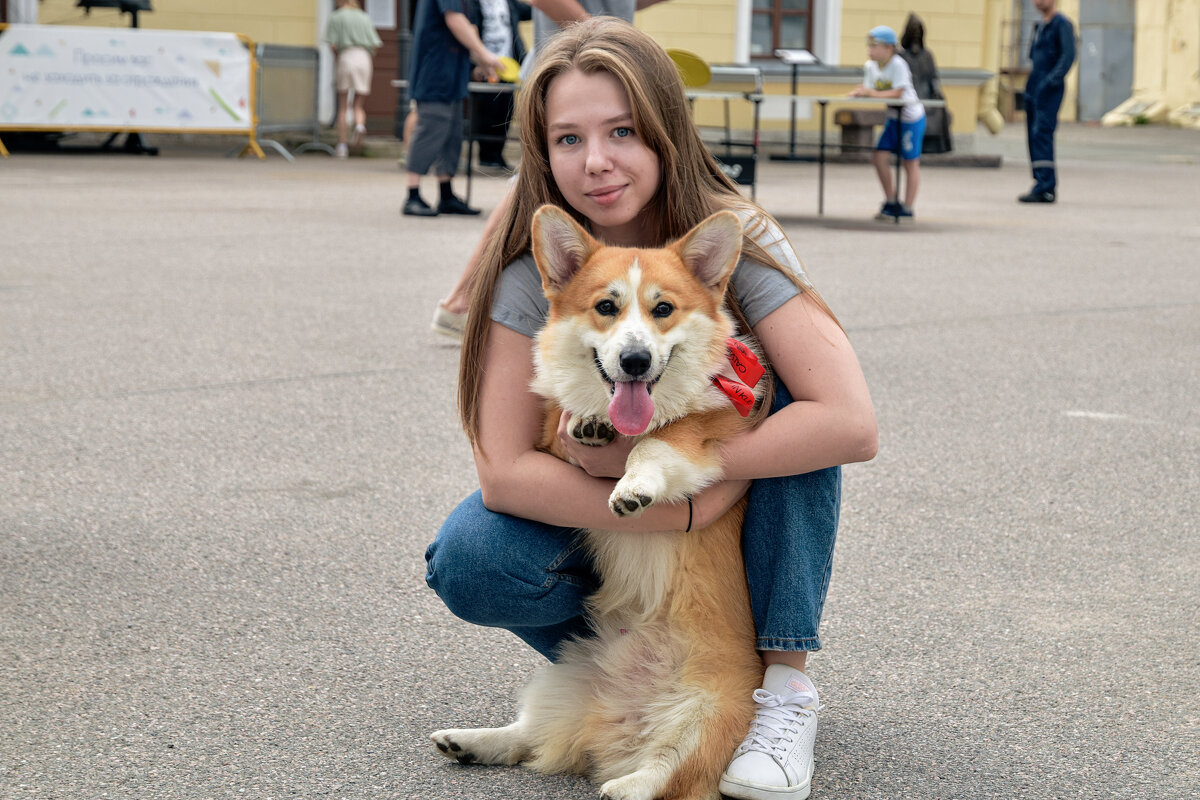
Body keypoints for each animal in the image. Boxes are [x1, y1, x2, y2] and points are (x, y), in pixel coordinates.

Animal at [432, 205, 768, 800]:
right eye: (606, 307)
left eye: (663, 309)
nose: (634, 361)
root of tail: (619, 728)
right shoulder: (549, 438)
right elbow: (561, 423)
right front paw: (588, 422)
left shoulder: (710, 428)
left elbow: (661, 440)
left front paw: (633, 487)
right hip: (564, 679)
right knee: (527, 737)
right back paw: (467, 741)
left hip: (708, 714)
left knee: (668, 774)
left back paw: (619, 789)